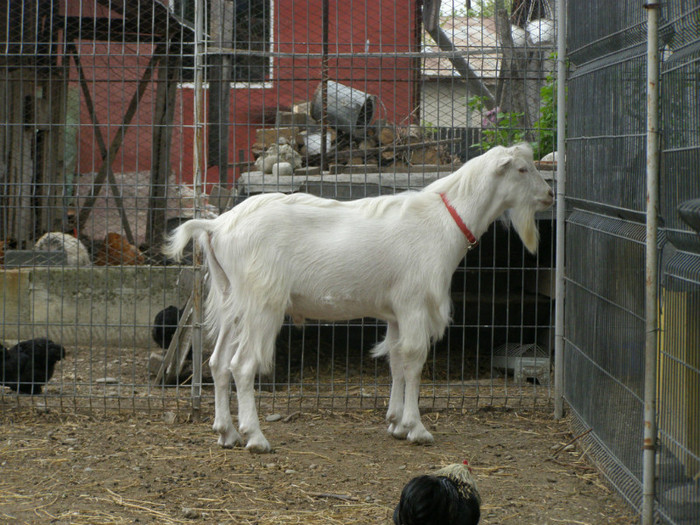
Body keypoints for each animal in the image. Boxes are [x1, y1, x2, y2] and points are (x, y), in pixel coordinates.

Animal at [164, 142, 552, 450]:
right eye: (522, 169)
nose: (549, 194)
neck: (444, 220)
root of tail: (217, 226)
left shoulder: (396, 312)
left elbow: (396, 360)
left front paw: (396, 422)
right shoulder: (414, 303)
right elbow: (415, 359)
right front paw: (417, 428)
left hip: (233, 298)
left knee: (217, 363)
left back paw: (226, 433)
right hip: (262, 301)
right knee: (242, 365)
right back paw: (255, 437)